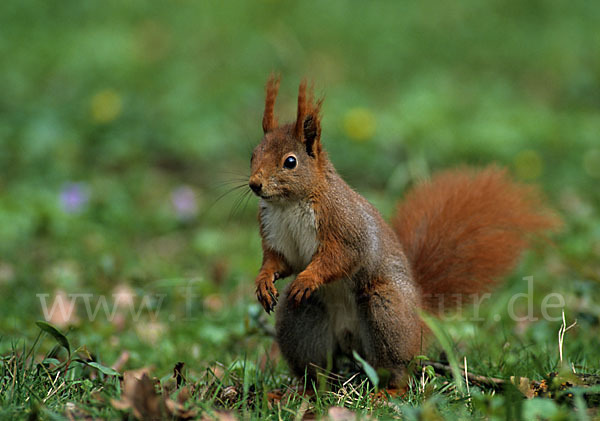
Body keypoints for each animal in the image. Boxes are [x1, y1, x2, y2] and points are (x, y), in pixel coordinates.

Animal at [248, 74, 556, 384]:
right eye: (253, 154)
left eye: (290, 162)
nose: (254, 184)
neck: (289, 204)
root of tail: (419, 318)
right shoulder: (274, 230)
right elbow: (278, 261)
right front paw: (263, 281)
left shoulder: (344, 223)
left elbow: (345, 255)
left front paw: (307, 278)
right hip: (302, 318)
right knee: (315, 366)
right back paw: (304, 387)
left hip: (385, 310)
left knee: (397, 369)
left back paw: (389, 388)